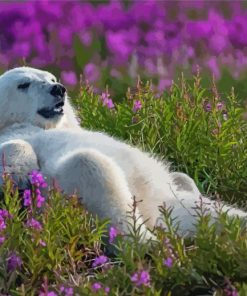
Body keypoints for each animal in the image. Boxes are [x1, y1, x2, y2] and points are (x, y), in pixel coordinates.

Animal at [0, 67, 246, 238]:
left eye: (51, 78)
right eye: (23, 84)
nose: (58, 88)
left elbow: (182, 179)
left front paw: (185, 180)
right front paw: (19, 171)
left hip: (173, 203)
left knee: (216, 214)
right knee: (93, 170)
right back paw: (148, 244)